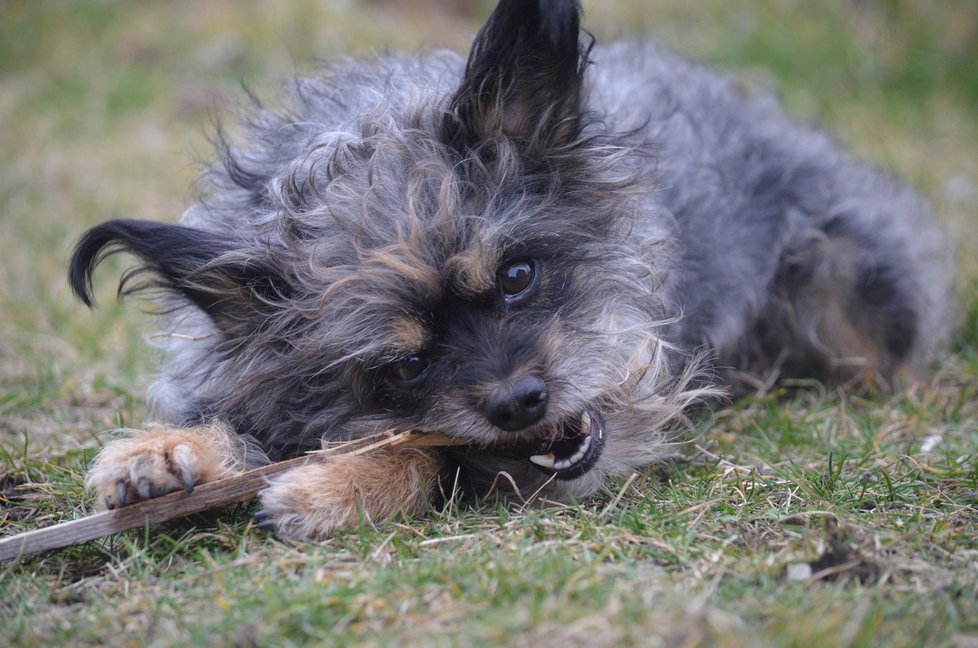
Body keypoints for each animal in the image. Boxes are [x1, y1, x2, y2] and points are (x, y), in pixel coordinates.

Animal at [68, 0, 952, 540]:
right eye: (405, 364)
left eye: (518, 274)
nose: (520, 401)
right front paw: (174, 451)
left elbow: (436, 453)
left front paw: (336, 485)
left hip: (840, 283)